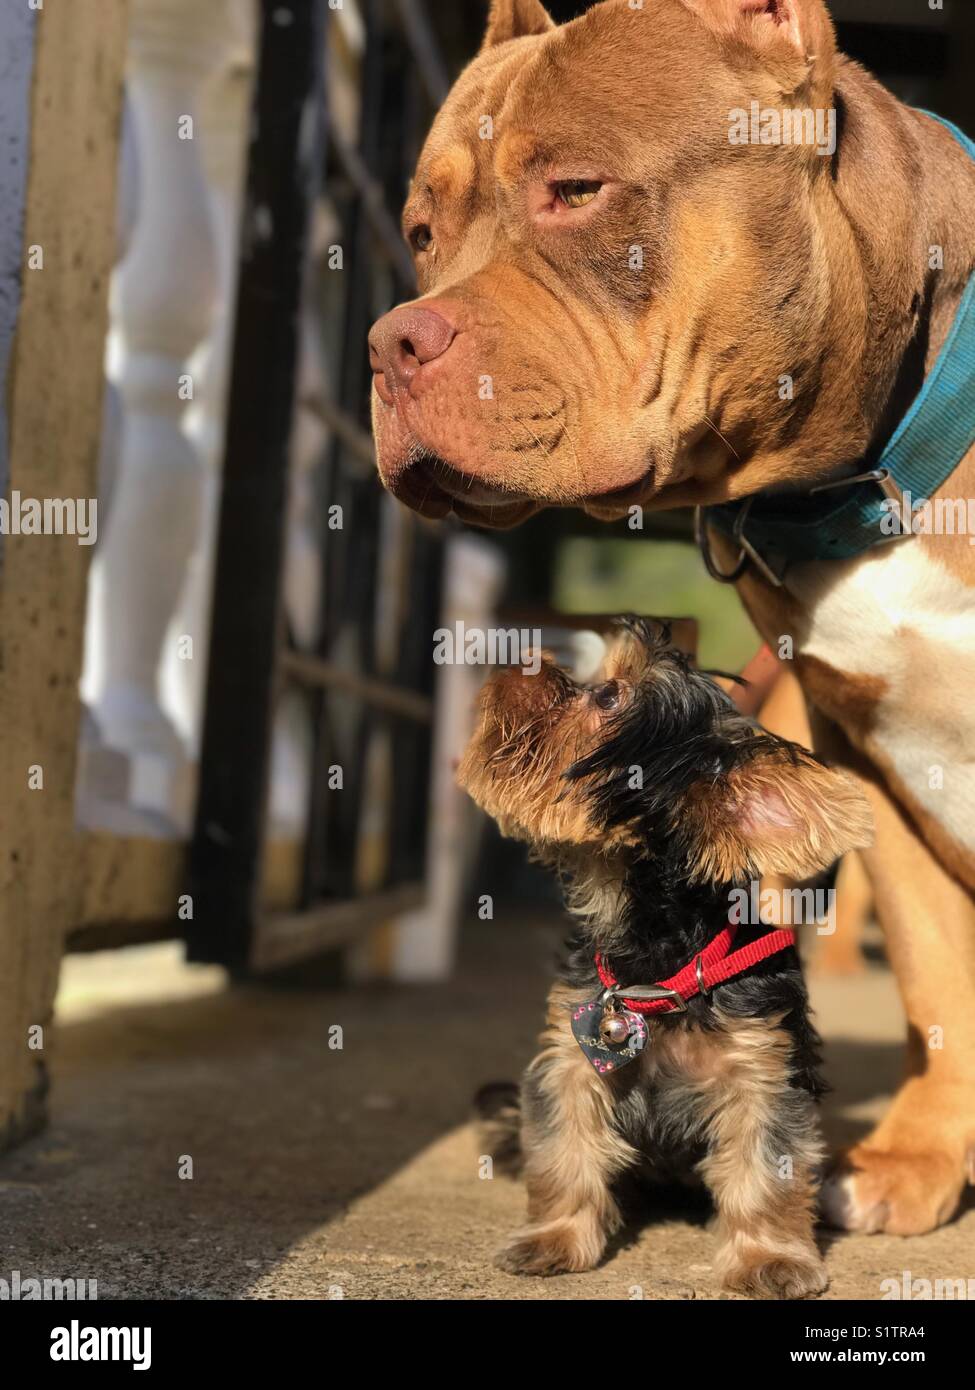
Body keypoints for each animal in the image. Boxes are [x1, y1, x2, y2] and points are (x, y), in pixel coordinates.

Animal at [369, 0, 973, 1239]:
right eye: (420, 230)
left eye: (576, 189)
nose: (390, 342)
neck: (871, 477)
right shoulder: (869, 752)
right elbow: (937, 975)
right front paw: (921, 1156)